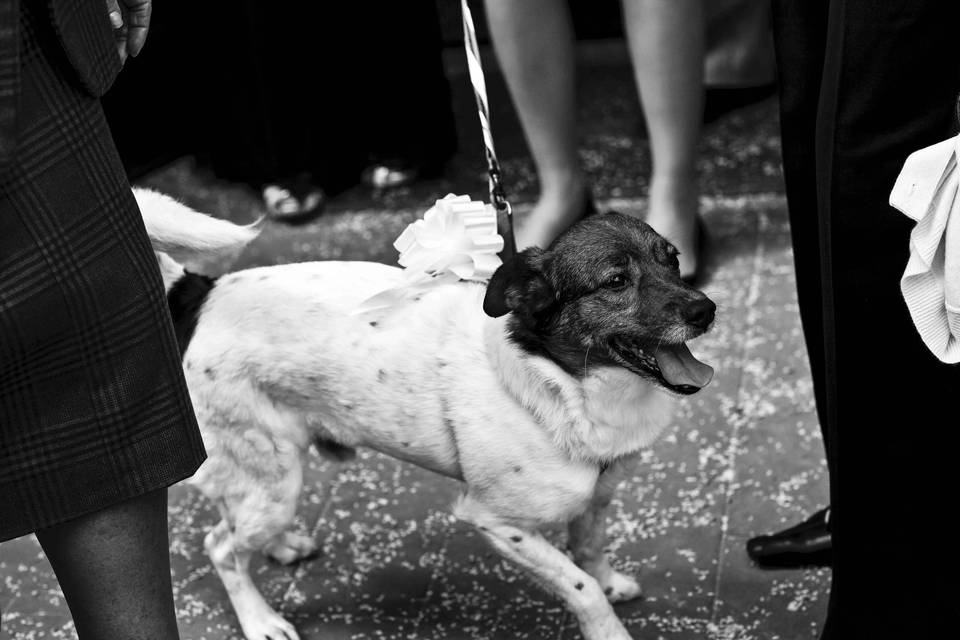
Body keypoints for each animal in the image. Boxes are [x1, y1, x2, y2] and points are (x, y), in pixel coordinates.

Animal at [135, 189, 712, 640]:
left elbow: (590, 552)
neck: (561, 384)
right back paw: (260, 620)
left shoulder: (598, 496)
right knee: (221, 548)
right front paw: (608, 627)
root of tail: (200, 293)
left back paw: (279, 548)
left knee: (233, 519)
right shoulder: (496, 521)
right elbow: (580, 584)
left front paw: (612, 582)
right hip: (274, 477)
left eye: (673, 259)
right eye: (615, 281)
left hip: (262, 472)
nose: (705, 309)